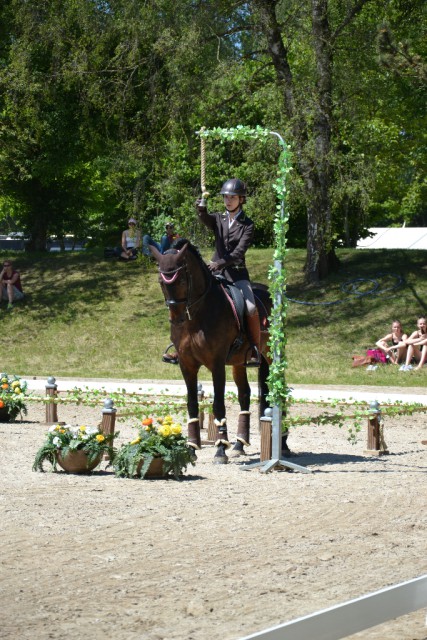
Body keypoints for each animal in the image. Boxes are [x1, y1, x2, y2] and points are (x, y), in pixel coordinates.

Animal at [150, 238, 276, 462]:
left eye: (181, 281)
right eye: (162, 282)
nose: (176, 319)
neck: (196, 316)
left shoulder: (217, 364)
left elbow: (218, 404)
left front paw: (220, 449)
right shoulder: (187, 365)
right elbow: (192, 404)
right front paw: (192, 447)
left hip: (270, 355)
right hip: (238, 362)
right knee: (245, 394)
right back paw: (239, 445)